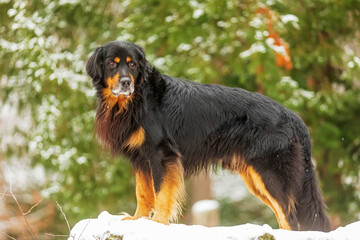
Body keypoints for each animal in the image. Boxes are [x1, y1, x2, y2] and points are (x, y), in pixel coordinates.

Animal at [86, 40, 330, 231]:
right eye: (111, 64)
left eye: (133, 65)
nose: (126, 82)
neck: (138, 98)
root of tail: (293, 117)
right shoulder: (141, 158)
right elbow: (143, 193)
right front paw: (138, 220)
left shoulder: (161, 154)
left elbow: (161, 192)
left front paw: (157, 223)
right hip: (256, 176)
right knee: (284, 215)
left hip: (270, 172)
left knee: (290, 217)